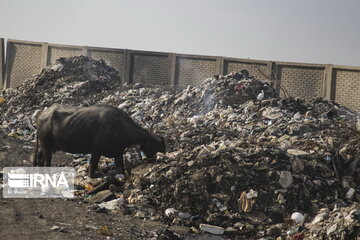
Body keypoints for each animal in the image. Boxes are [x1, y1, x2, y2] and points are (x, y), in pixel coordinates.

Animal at [32, 104, 165, 177]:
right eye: (156, 145)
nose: (153, 160)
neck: (119, 127)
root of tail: (41, 115)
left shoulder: (118, 153)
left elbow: (120, 169)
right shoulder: (96, 151)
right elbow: (92, 167)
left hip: (45, 147)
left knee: (40, 159)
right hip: (46, 146)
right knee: (46, 163)